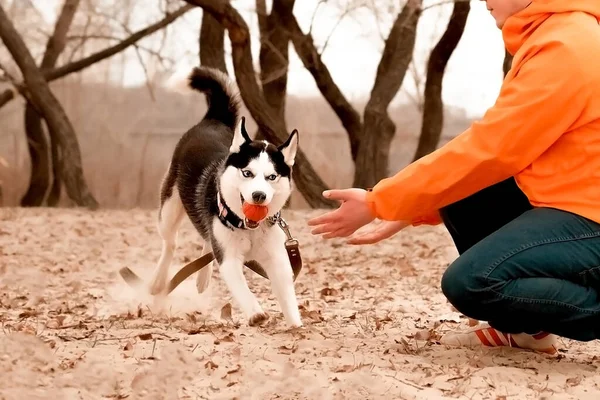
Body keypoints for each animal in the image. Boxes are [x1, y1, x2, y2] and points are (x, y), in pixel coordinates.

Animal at [148, 66, 302, 328]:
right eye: (247, 173)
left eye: (271, 177)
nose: (259, 196)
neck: (248, 228)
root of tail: (213, 120)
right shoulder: (229, 259)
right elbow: (242, 289)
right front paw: (256, 313)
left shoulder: (278, 258)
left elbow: (287, 296)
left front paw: (296, 325)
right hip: (169, 209)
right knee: (170, 243)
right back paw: (158, 280)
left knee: (205, 238)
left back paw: (201, 277)